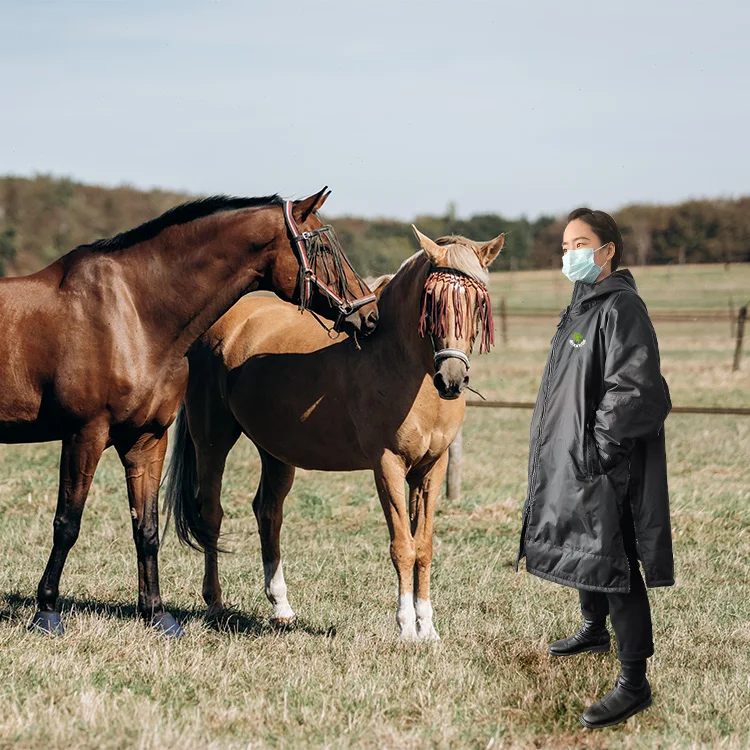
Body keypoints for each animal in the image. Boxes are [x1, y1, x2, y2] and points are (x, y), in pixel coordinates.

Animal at [0, 187, 378, 637]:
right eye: (320, 247)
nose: (369, 315)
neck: (132, 315)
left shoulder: (146, 440)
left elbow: (145, 528)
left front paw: (156, 613)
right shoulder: (84, 435)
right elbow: (67, 524)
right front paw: (47, 611)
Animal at [165, 226, 504, 639]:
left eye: (478, 303)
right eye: (432, 301)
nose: (452, 380)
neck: (401, 364)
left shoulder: (431, 469)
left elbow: (423, 546)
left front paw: (428, 629)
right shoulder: (388, 466)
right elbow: (402, 546)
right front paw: (407, 629)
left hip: (275, 451)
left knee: (268, 513)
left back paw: (282, 608)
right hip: (212, 439)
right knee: (211, 513)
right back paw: (215, 604)